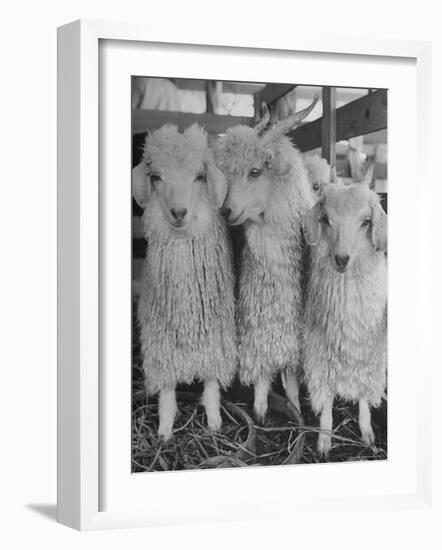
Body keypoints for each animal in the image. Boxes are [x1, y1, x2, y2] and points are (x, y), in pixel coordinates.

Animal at [132, 124, 238, 440]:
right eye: (156, 177)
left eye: (199, 176)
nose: (178, 213)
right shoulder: (160, 342)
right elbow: (167, 388)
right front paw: (165, 430)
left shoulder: (218, 337)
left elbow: (212, 382)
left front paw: (214, 422)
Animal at [215, 98, 316, 422]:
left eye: (256, 171)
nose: (226, 211)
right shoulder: (256, 325)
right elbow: (261, 372)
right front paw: (260, 411)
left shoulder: (293, 334)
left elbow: (292, 380)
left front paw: (297, 412)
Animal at [304, 167, 386, 458]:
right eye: (326, 219)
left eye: (366, 221)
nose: (341, 259)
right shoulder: (319, 356)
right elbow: (326, 401)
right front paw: (324, 440)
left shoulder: (369, 356)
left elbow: (363, 397)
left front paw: (367, 434)